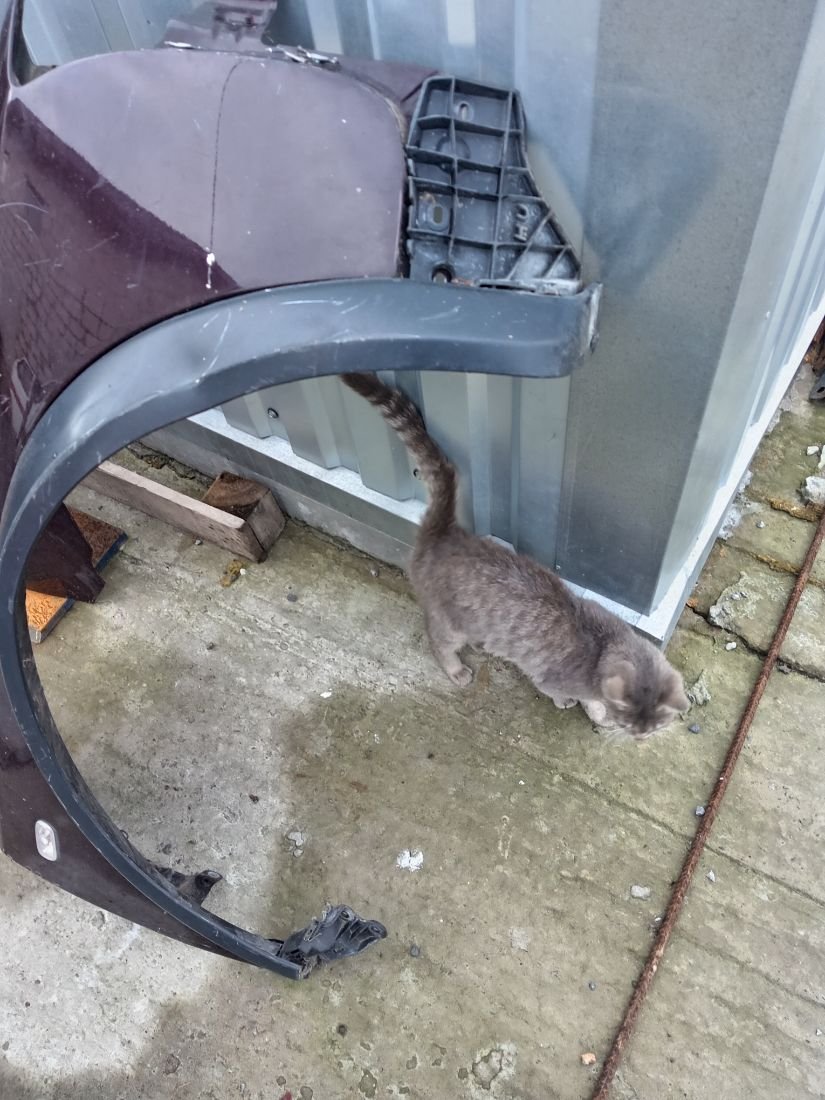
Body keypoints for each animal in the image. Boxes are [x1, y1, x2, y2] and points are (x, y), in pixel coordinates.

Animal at [342, 372, 690, 740]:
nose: (640, 737)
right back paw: (455, 668)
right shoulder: (551, 677)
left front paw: (596, 712)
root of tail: (444, 533)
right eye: (631, 723)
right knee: (438, 641)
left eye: (655, 725)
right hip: (449, 623)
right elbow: (568, 694)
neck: (602, 648)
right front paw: (581, 707)